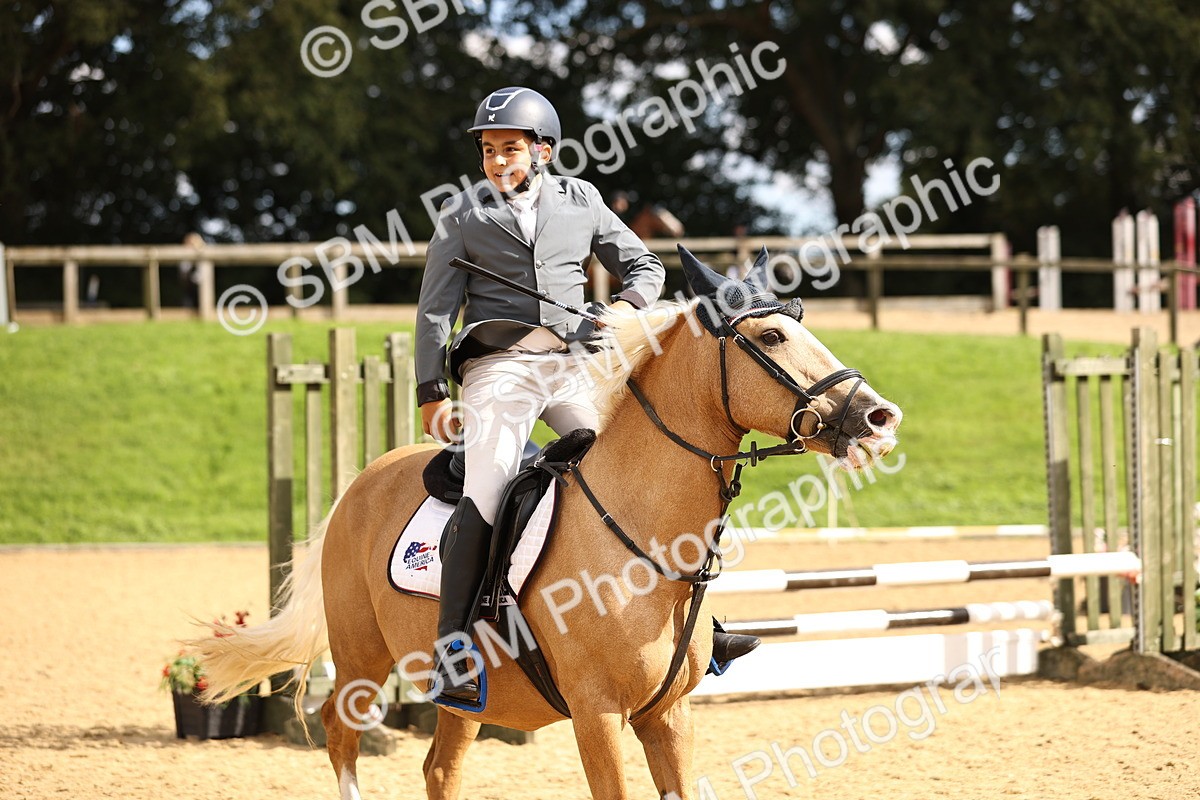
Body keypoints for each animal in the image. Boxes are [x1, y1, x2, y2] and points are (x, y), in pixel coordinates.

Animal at [190, 248, 902, 800]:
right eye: (773, 338)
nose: (879, 416)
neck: (642, 543)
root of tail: (367, 477)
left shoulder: (669, 716)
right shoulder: (598, 715)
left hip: (462, 699)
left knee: (439, 770)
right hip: (361, 660)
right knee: (342, 743)